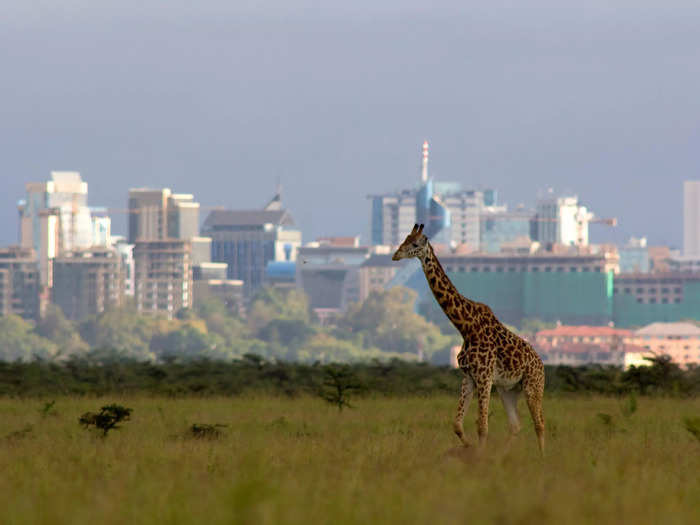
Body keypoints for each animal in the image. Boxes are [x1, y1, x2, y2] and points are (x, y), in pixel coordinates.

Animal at [392, 223, 544, 452]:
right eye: (405, 239)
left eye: (415, 244)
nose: (395, 255)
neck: (466, 327)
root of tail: (542, 365)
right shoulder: (469, 377)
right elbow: (457, 425)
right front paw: (470, 448)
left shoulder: (484, 377)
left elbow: (482, 426)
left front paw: (478, 455)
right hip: (508, 390)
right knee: (515, 425)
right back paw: (503, 455)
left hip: (533, 386)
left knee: (539, 424)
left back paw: (543, 457)